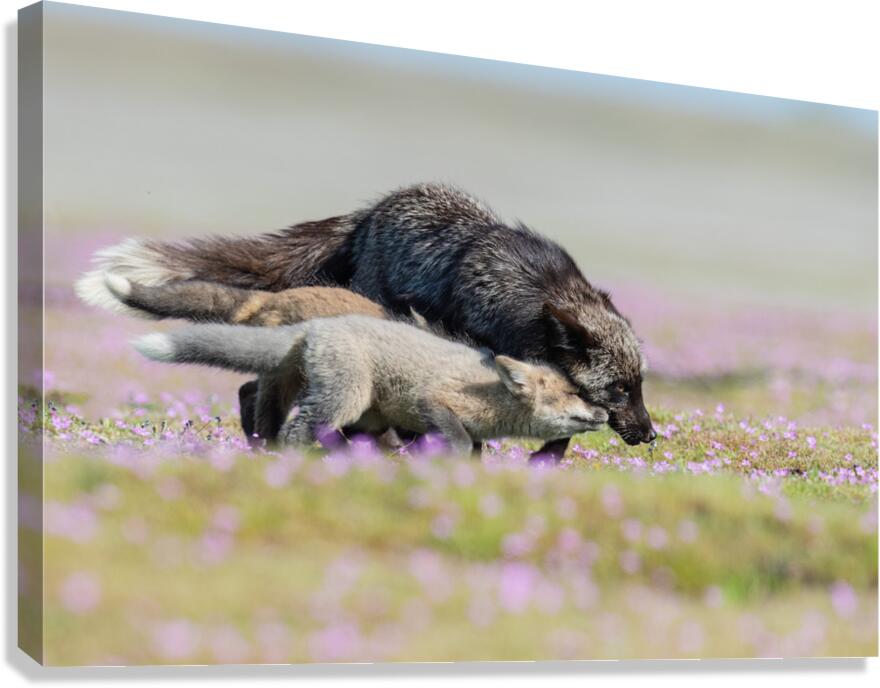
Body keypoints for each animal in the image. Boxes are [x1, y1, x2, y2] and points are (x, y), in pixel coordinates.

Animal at [133, 316, 609, 455]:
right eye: (574, 394)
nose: (605, 414)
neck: (491, 395)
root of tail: (315, 325)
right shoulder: (433, 401)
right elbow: (458, 442)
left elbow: (473, 451)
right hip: (347, 397)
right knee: (298, 429)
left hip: (360, 410)